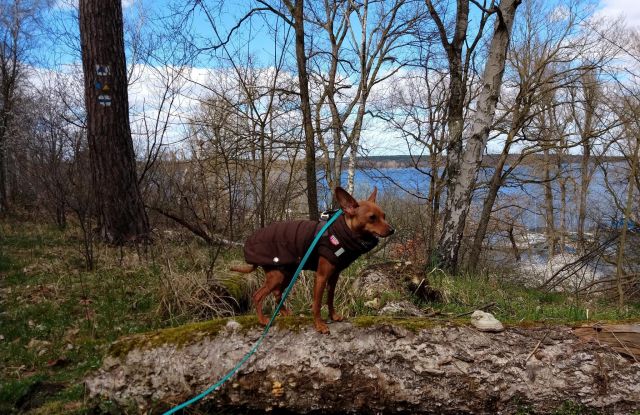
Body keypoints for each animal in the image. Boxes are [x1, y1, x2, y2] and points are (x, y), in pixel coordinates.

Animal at [229, 187, 390, 334]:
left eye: (384, 216)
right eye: (372, 217)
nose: (392, 229)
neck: (341, 233)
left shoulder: (334, 277)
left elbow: (330, 298)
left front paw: (333, 316)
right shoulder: (321, 277)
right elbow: (317, 304)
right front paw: (319, 325)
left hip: (286, 274)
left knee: (277, 293)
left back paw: (285, 313)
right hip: (277, 276)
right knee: (258, 295)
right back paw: (263, 320)